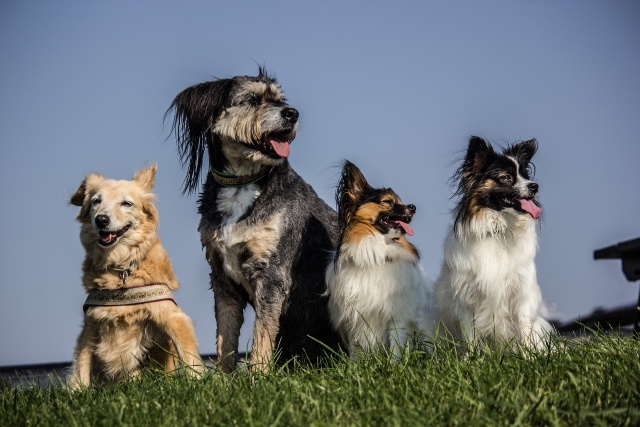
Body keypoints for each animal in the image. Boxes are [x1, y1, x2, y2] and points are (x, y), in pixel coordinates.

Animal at [68, 165, 202, 392]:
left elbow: (189, 356)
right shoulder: (91, 324)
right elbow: (81, 364)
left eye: (126, 203)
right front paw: (76, 392)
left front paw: (200, 383)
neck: (120, 267)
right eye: (96, 201)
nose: (101, 220)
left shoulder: (172, 316)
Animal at [168, 68, 342, 372]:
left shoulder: (272, 274)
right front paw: (224, 376)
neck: (242, 184)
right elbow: (225, 336)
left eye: (280, 100)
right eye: (252, 99)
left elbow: (263, 332)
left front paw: (258, 375)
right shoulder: (221, 277)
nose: (292, 113)